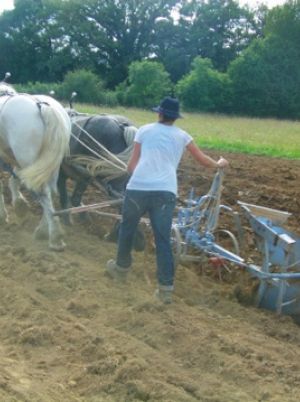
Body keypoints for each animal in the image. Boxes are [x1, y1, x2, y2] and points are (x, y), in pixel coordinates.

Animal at [0, 81, 71, 250]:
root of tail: (43, 106)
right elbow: (14, 179)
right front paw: (19, 205)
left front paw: (3, 215)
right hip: (50, 163)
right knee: (51, 191)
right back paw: (43, 230)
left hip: (28, 156)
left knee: (43, 191)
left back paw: (54, 236)